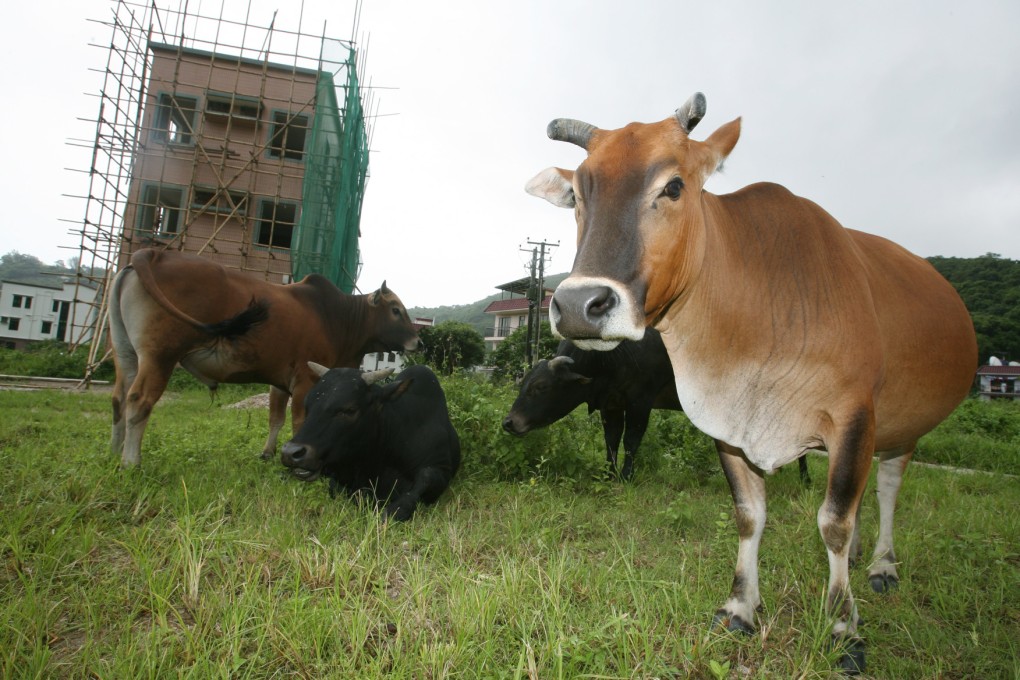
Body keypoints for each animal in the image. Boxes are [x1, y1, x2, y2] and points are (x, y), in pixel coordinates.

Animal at [109, 248, 421, 468]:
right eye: (395, 309)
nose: (417, 341)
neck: (340, 318)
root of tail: (153, 254)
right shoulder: (305, 379)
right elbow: (298, 421)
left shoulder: (279, 383)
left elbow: (275, 419)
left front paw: (267, 453)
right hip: (160, 356)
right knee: (139, 401)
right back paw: (131, 462)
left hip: (125, 354)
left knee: (118, 398)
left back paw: (114, 453)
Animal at [503, 330, 810, 483]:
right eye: (523, 383)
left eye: (540, 387)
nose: (509, 422)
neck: (613, 356)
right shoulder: (611, 405)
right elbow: (611, 440)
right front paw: (608, 474)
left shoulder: (641, 401)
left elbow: (631, 440)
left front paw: (626, 476)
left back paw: (804, 478)